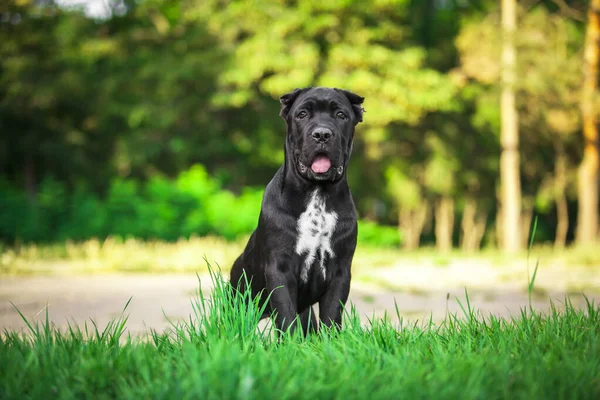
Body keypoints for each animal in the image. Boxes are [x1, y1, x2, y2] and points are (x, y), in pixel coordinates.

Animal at [229, 86, 360, 334]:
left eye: (341, 115)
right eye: (302, 114)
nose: (322, 134)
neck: (318, 193)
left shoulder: (340, 271)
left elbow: (331, 316)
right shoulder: (280, 268)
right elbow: (286, 314)